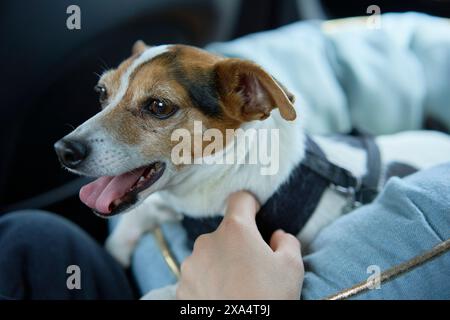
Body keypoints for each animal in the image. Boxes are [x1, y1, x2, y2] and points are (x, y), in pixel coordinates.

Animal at [55, 41, 450, 298]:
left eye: (159, 106)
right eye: (101, 92)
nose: (64, 150)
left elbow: (159, 293)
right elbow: (143, 212)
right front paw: (117, 249)